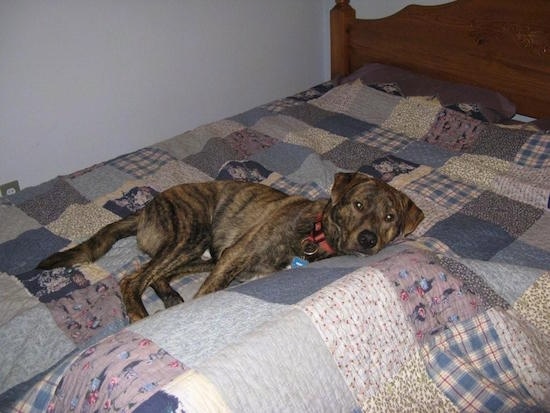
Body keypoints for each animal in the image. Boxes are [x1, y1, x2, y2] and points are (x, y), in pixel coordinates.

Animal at [37, 172, 426, 320]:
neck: (315, 234)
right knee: (132, 280)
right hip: (190, 234)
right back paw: (139, 313)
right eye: (358, 205)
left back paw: (169, 297)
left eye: (390, 217)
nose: (368, 239)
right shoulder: (235, 257)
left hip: (203, 252)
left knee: (158, 275)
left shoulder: (232, 262)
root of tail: (144, 209)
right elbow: (206, 295)